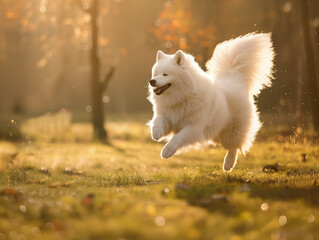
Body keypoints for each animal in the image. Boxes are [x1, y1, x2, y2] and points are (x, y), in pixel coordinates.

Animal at [148, 32, 276, 172]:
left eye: (165, 74)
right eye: (155, 74)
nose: (152, 81)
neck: (181, 97)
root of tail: (236, 78)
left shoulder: (194, 127)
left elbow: (178, 137)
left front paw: (167, 150)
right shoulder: (169, 118)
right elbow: (158, 119)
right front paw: (156, 132)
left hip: (230, 134)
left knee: (234, 148)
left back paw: (228, 164)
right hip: (215, 134)